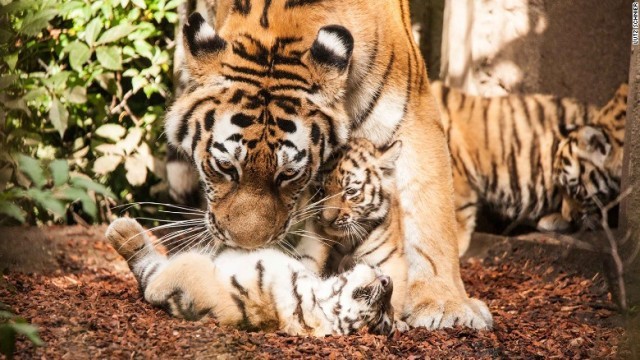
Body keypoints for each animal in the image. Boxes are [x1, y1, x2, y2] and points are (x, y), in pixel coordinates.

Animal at [164, 0, 490, 330]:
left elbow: (433, 212)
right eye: (225, 167)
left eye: (289, 174)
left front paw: (446, 304)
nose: (247, 247)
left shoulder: (413, 111)